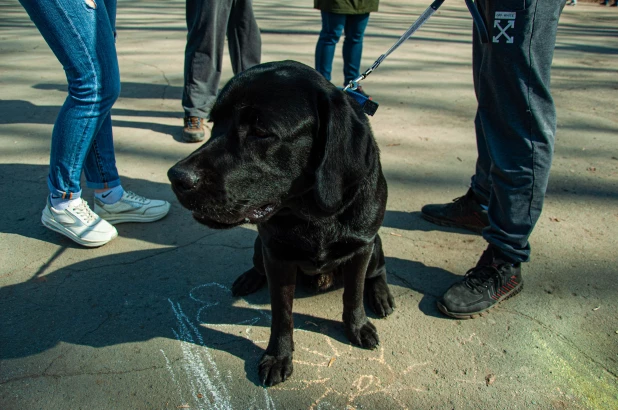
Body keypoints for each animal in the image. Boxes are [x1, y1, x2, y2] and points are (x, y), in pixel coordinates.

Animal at [166, 59, 392, 386]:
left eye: (261, 132)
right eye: (214, 123)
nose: (177, 178)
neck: (315, 215)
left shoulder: (361, 248)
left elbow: (353, 295)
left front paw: (357, 327)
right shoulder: (277, 256)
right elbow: (281, 314)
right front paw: (278, 355)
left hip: (375, 247)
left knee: (378, 271)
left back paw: (381, 294)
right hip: (260, 247)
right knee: (258, 265)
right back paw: (249, 278)